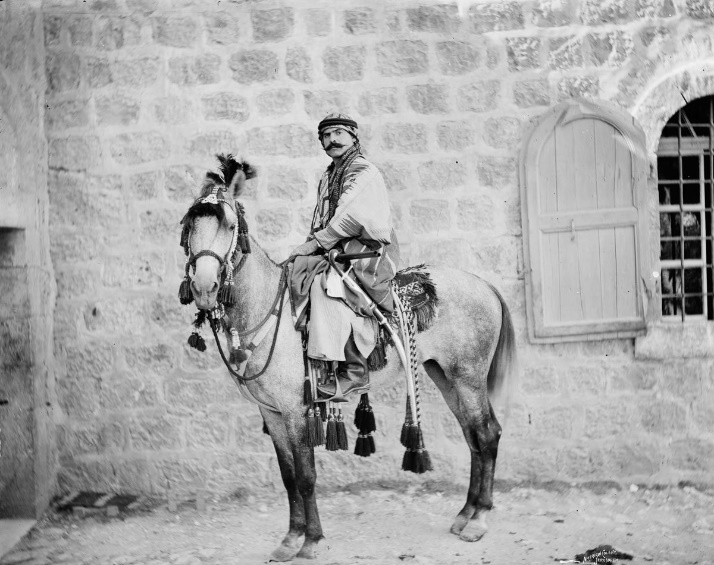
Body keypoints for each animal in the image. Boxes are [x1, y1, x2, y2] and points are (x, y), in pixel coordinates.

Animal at [181, 154, 516, 560]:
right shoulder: (272, 414)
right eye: (188, 225)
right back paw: (465, 513)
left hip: (468, 378)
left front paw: (311, 540)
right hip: (445, 377)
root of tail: (484, 285)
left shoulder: (296, 412)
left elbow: (306, 477)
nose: (204, 287)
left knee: (487, 433)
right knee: (472, 436)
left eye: (230, 225)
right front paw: (290, 538)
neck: (270, 309)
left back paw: (479, 518)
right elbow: (288, 476)